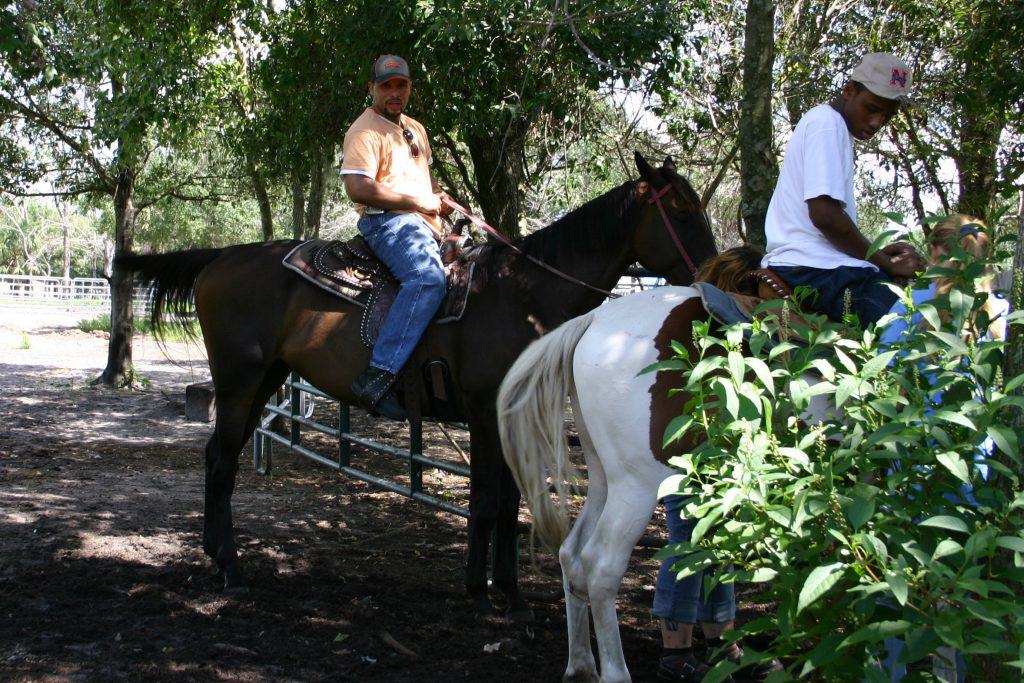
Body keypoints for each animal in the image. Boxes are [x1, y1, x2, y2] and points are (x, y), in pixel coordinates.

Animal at [116, 153, 716, 614]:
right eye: (682, 211)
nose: (713, 275)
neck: (520, 293)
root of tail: (222, 257)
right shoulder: (483, 415)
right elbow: (485, 503)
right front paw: (481, 592)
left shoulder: (507, 417)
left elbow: (507, 503)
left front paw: (511, 594)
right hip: (239, 381)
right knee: (221, 461)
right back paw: (230, 569)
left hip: (266, 378)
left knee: (221, 458)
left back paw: (216, 554)